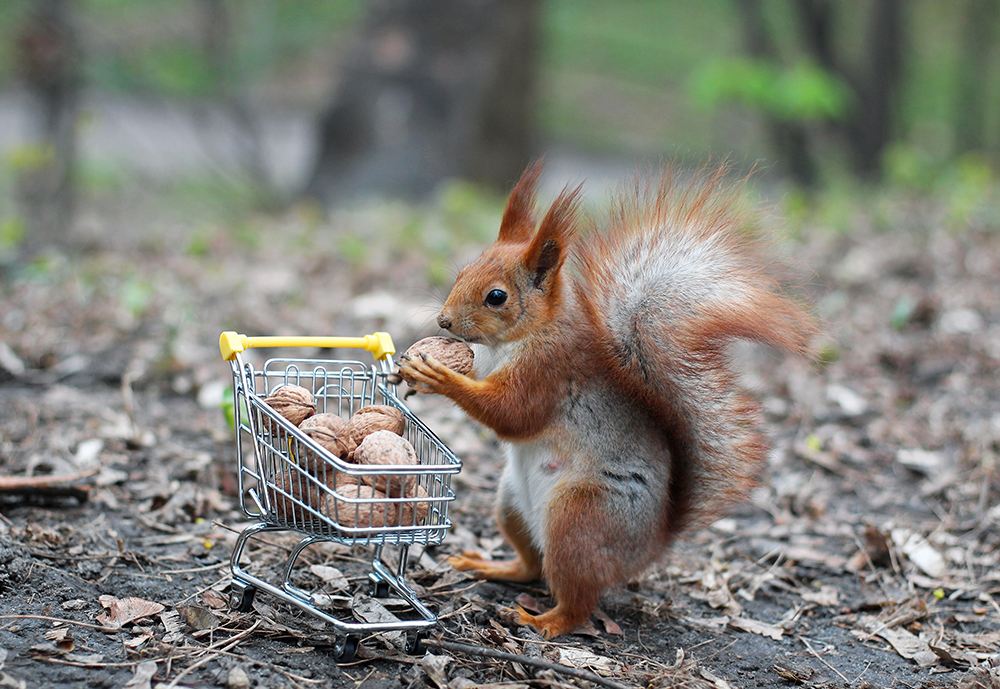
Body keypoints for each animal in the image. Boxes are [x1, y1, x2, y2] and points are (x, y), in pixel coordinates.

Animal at [398, 164, 812, 636]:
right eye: (462, 272)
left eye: (496, 296)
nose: (443, 320)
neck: (516, 340)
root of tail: (651, 545)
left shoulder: (548, 372)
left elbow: (513, 415)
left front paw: (439, 376)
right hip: (510, 504)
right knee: (531, 565)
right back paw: (494, 568)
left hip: (579, 520)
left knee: (577, 600)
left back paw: (543, 621)